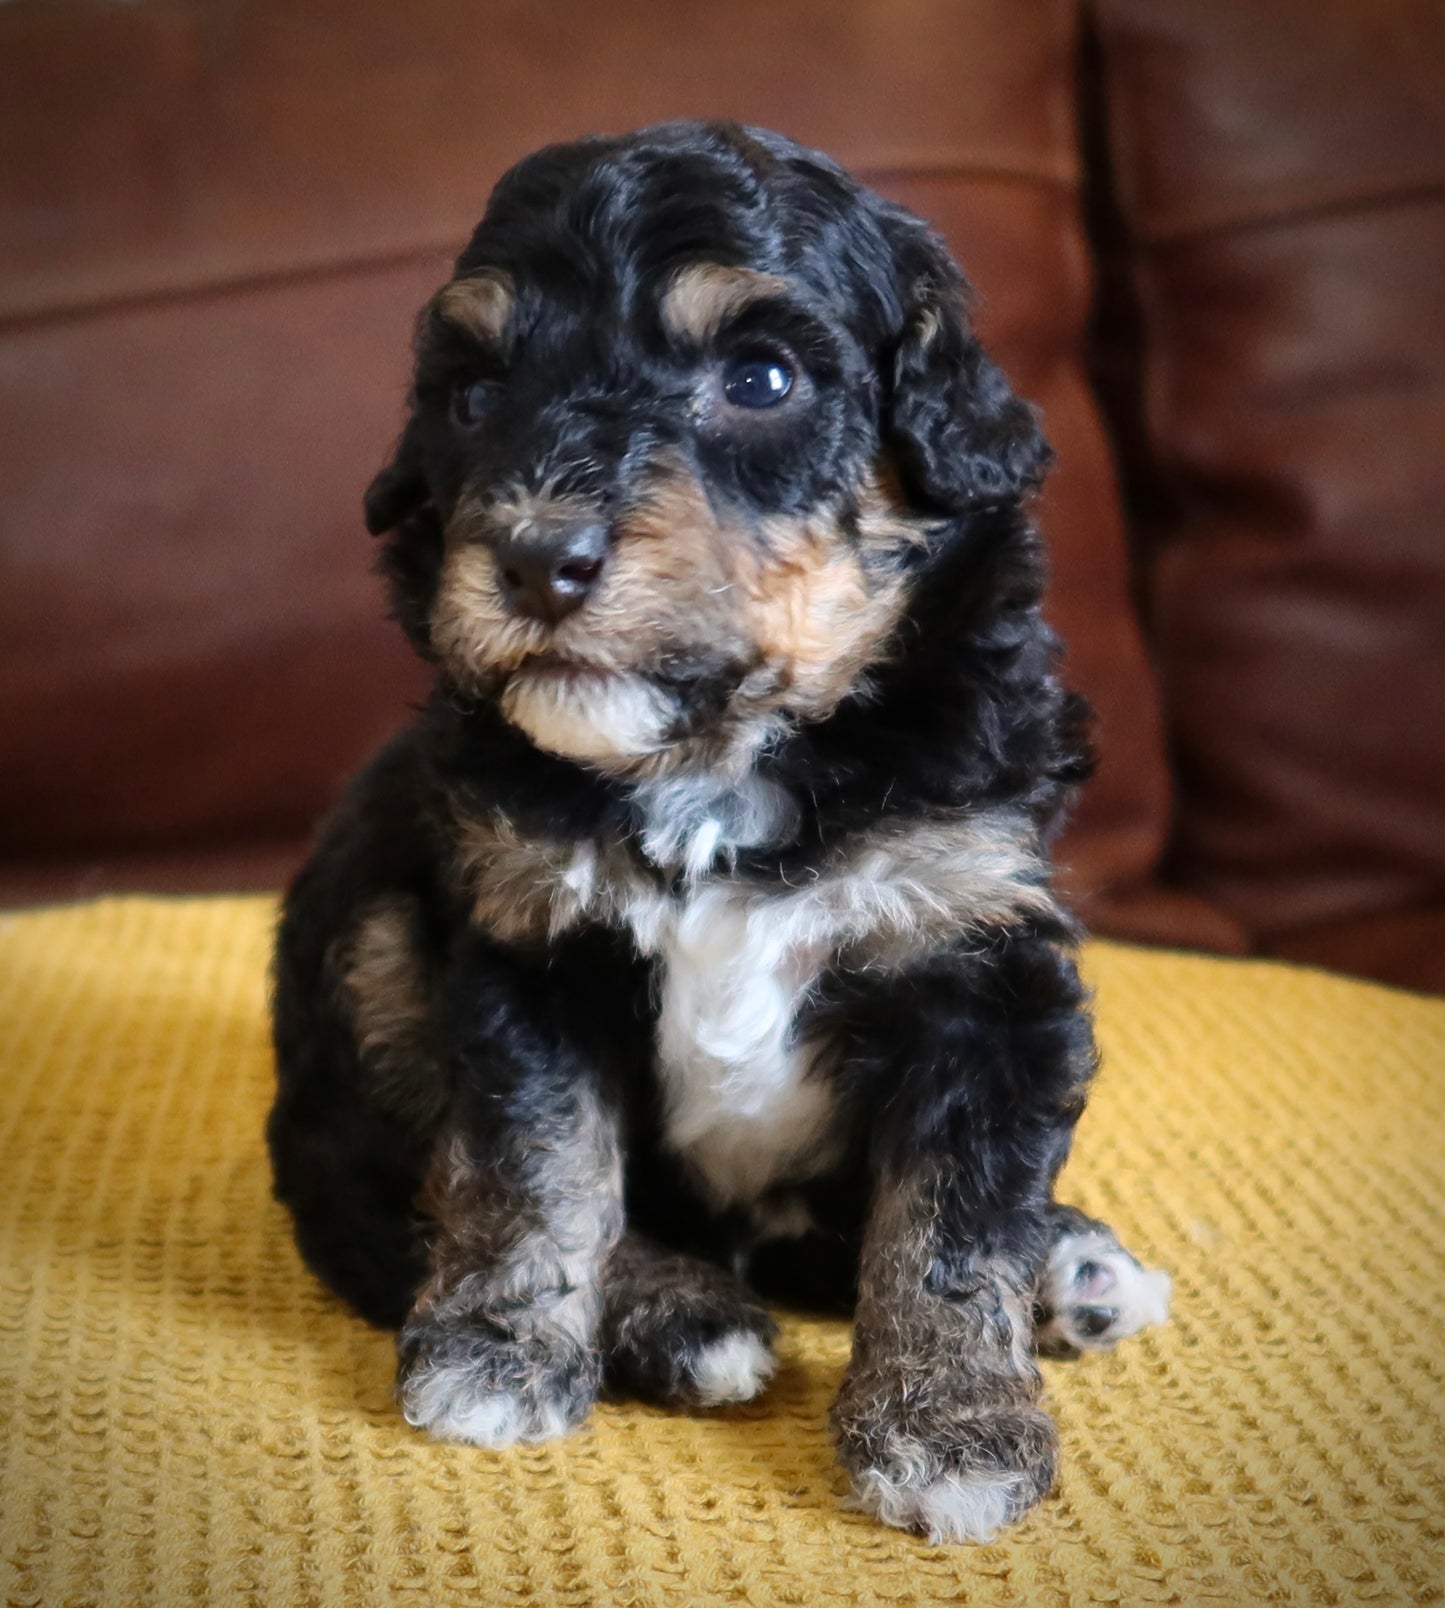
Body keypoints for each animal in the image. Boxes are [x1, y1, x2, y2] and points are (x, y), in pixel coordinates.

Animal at [274, 116, 1176, 1543]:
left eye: (760, 378)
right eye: (471, 400)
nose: (534, 557)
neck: (716, 763)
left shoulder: (981, 957)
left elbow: (950, 1218)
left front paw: (949, 1424)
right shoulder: (520, 942)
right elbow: (530, 1169)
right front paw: (498, 1350)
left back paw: (1067, 1263)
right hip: (371, 950)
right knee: (396, 1190)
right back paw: (677, 1312)